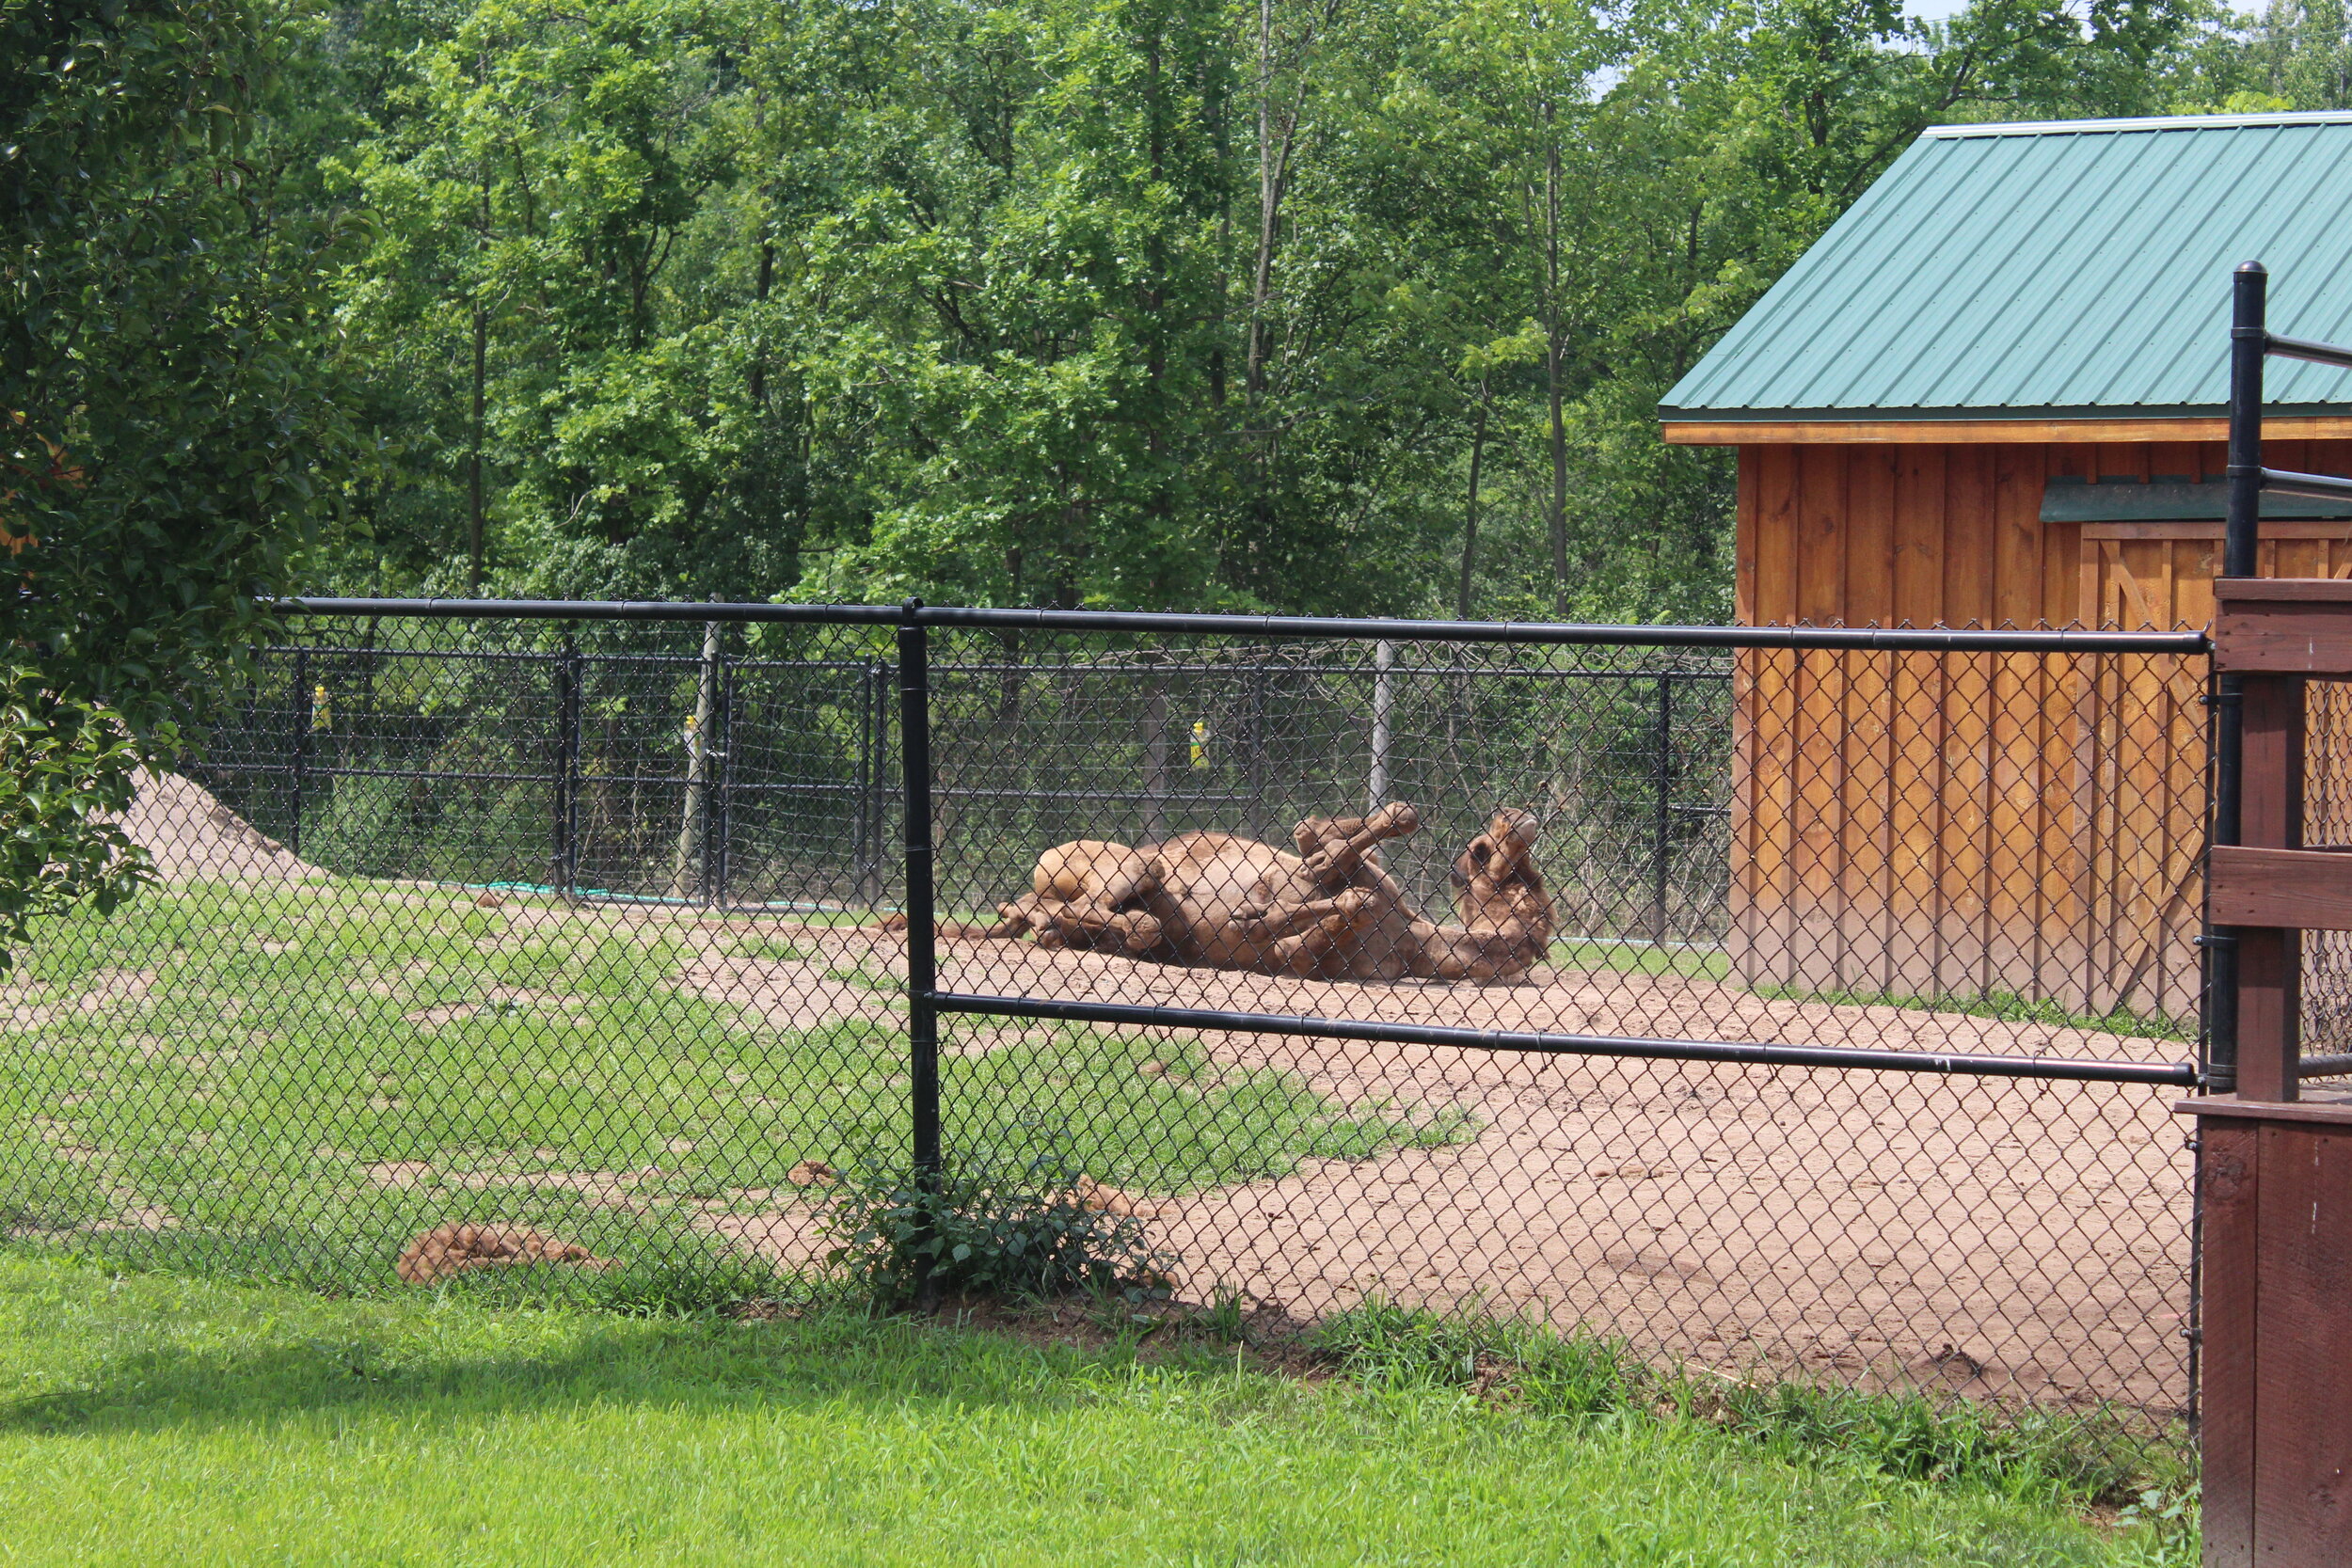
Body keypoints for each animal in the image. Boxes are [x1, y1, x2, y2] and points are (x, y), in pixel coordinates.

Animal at [922, 808, 1562, 982]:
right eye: (1485, 843)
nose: (1520, 816)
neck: (1414, 942)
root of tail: (1038, 867)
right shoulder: (1340, 866)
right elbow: (1325, 841)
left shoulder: (1305, 956)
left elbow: (1312, 914)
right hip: (1120, 861)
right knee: (1110, 898)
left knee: (1115, 923)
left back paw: (1045, 924)